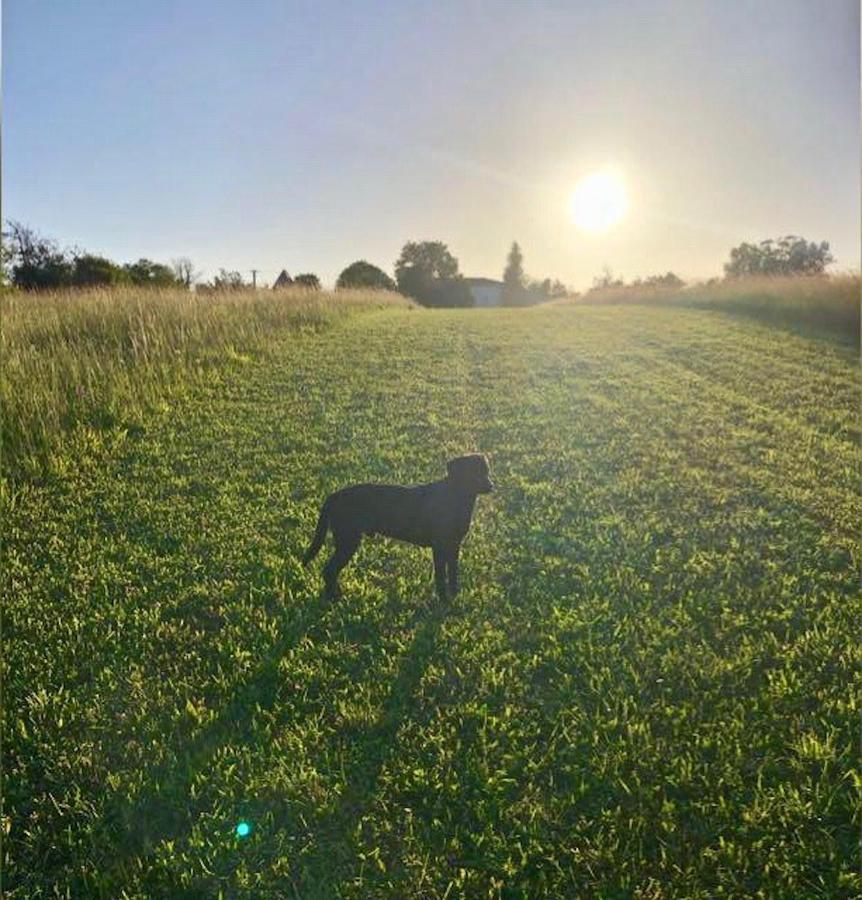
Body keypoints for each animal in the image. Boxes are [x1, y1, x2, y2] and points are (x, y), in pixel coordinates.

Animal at [304, 458, 492, 596]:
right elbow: (441, 575)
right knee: (329, 570)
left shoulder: (454, 546)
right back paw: (333, 596)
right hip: (347, 541)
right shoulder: (439, 547)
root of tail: (333, 496)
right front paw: (443, 599)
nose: (491, 485)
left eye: (486, 471)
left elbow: (452, 573)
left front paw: (454, 595)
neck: (456, 497)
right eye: (473, 473)